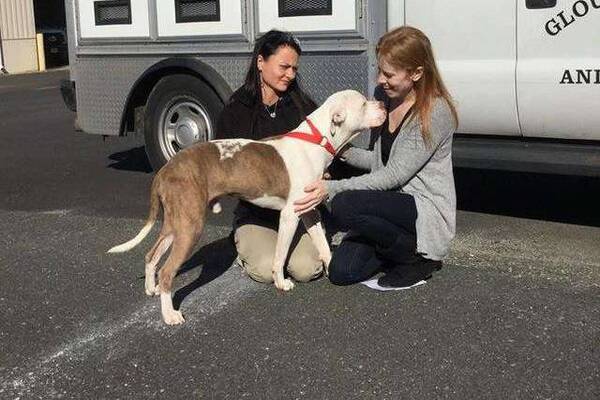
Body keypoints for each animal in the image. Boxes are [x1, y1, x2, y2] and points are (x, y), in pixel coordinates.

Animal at [109, 89, 384, 324]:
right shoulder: (290, 215)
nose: (382, 104)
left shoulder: (309, 211)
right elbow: (280, 255)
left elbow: (323, 246)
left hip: (176, 223)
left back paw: (151, 288)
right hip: (190, 227)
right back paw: (170, 315)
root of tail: (165, 169)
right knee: (167, 271)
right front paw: (281, 282)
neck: (316, 141)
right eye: (362, 103)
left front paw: (332, 268)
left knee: (151, 255)